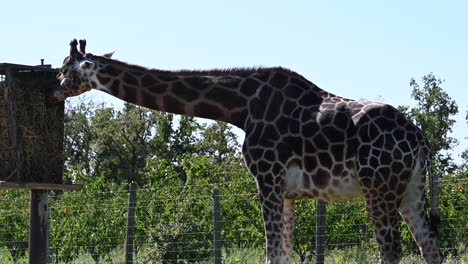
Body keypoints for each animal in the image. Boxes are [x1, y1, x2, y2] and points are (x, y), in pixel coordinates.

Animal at [52, 39, 442, 264]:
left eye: (64, 69)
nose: (54, 90)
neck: (240, 108)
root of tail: (418, 137)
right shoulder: (288, 192)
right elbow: (283, 255)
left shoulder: (266, 179)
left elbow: (272, 256)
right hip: (411, 189)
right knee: (430, 247)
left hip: (379, 188)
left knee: (392, 250)